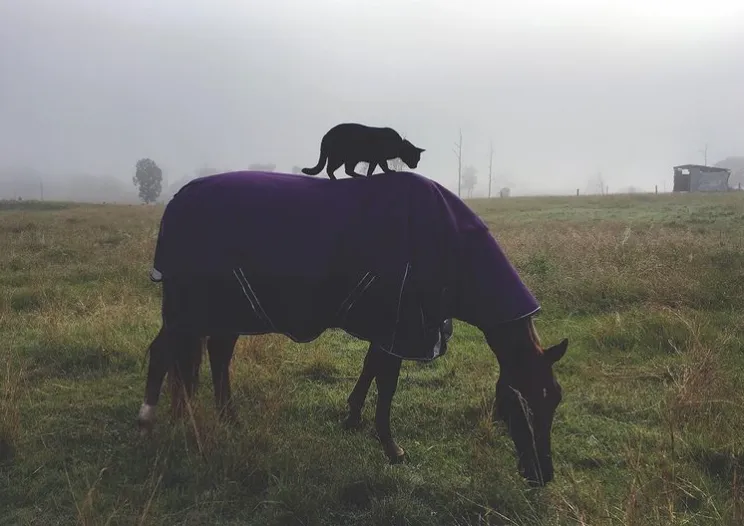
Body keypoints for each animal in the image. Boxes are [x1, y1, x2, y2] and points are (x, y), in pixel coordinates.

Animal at [136, 169, 570, 487]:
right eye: (523, 402)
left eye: (554, 400)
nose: (543, 475)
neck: (451, 245)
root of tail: (177, 201)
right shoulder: (400, 327)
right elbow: (387, 387)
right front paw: (391, 448)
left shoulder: (387, 331)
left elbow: (370, 370)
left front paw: (352, 417)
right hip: (187, 311)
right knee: (166, 355)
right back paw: (154, 423)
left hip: (229, 312)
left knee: (214, 356)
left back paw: (226, 419)